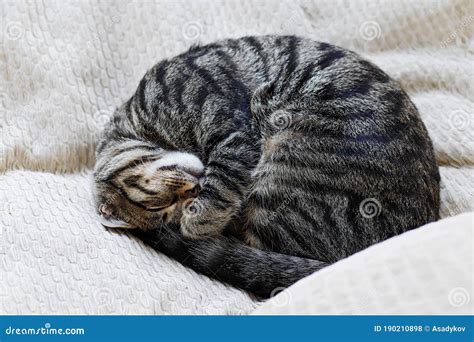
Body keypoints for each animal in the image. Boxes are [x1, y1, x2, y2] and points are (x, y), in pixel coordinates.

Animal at [93, 34, 440, 296]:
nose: (192, 191)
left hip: (284, 165)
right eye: (164, 210)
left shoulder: (233, 135)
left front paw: (197, 222)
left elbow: (217, 193)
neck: (143, 122)